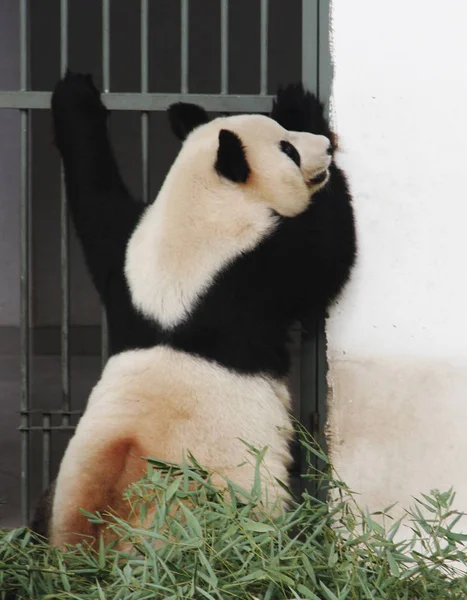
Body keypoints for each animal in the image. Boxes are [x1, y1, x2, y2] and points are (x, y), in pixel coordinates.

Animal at [49, 91, 356, 552]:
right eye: (288, 148)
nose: (326, 145)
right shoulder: (250, 277)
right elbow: (328, 247)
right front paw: (299, 101)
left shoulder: (126, 267)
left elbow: (97, 202)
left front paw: (75, 93)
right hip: (226, 512)